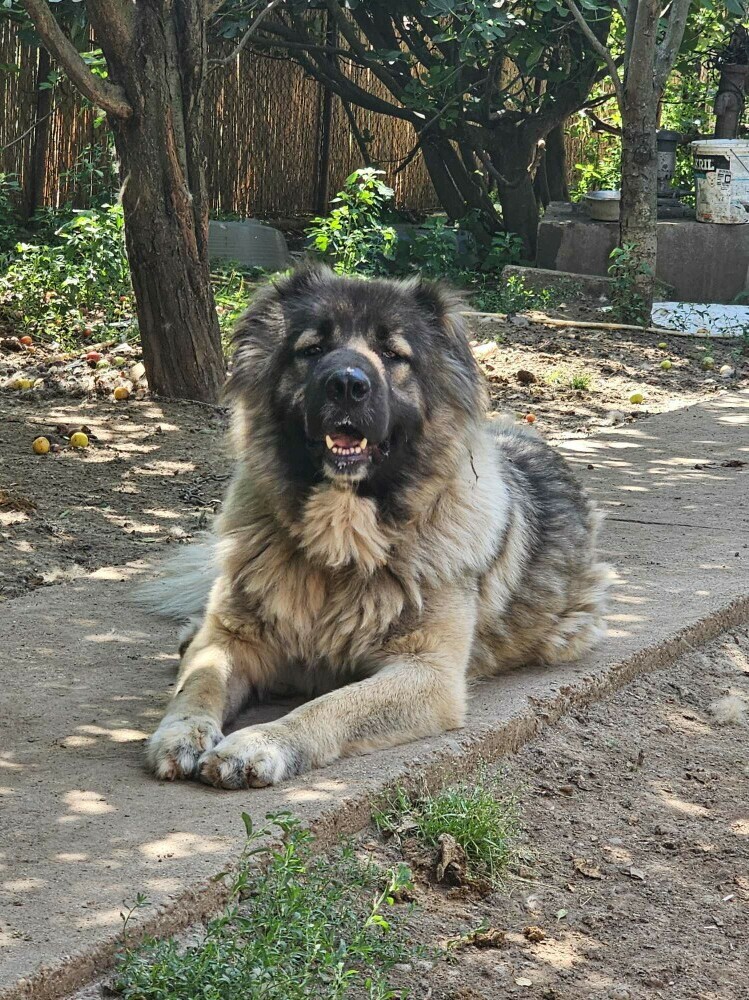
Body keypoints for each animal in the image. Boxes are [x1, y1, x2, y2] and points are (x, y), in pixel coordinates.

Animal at [143, 266, 612, 788]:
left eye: (393, 354)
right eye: (312, 349)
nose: (347, 385)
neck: (342, 543)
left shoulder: (426, 674)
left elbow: (330, 706)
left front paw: (262, 742)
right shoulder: (231, 641)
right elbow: (201, 679)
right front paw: (182, 730)